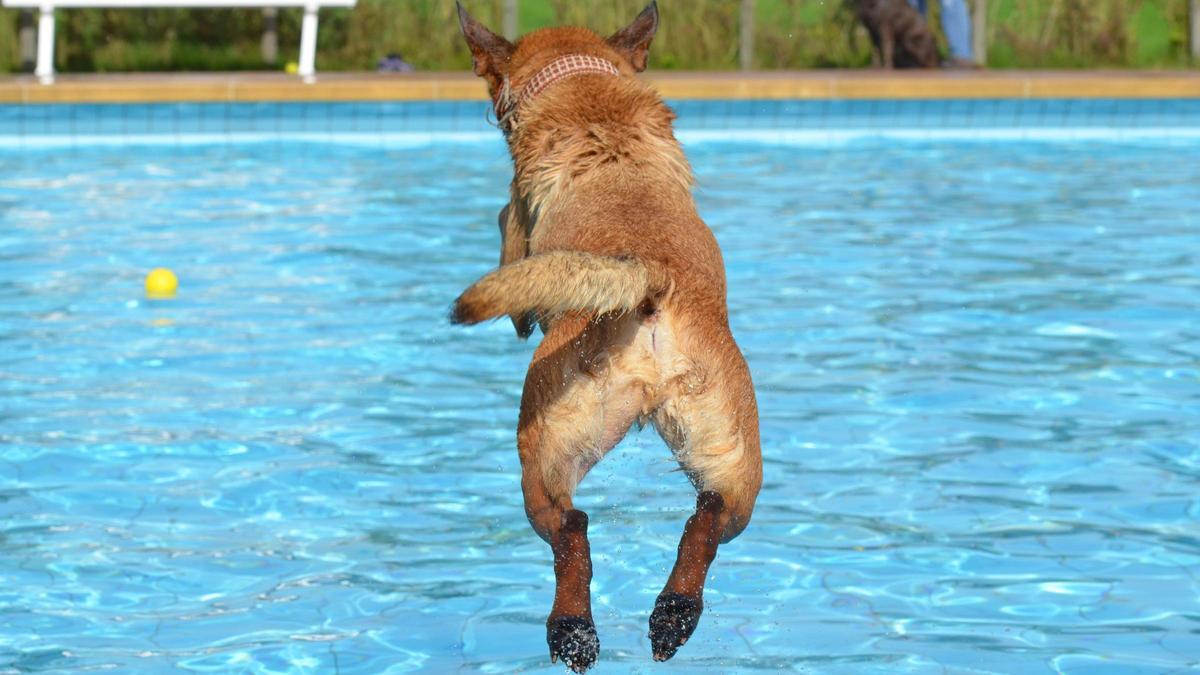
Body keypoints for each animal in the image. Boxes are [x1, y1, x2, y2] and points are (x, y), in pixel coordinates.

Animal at [448, 2, 758, 667]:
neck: (585, 87)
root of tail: (649, 279)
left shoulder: (514, 224)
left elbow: (508, 236)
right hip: (730, 454)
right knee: (708, 518)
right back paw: (672, 616)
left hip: (542, 450)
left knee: (572, 530)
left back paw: (573, 631)